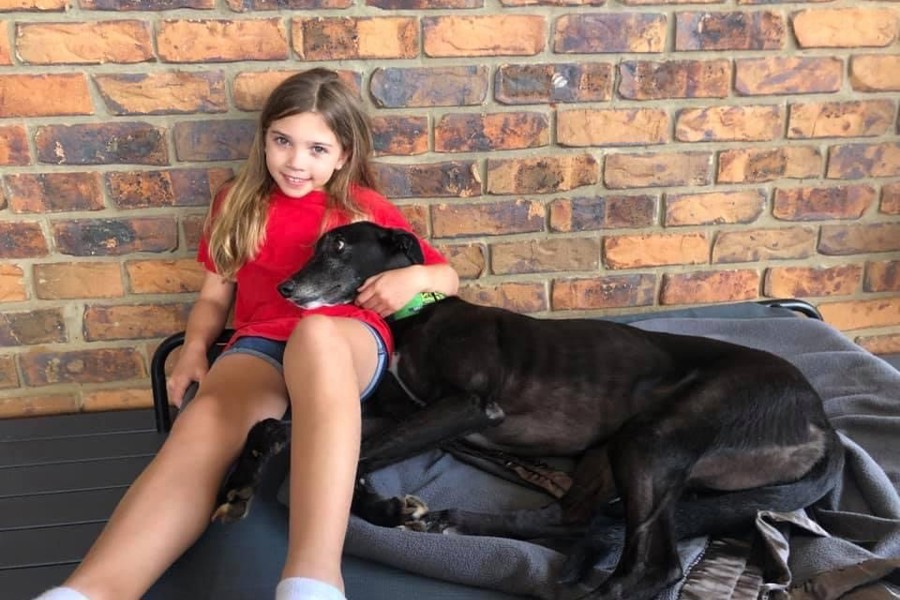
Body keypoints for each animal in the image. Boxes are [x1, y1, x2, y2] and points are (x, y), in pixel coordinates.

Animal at [213, 221, 843, 600]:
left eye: (339, 246)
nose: (287, 289)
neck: (417, 314)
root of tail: (821, 420)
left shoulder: (468, 406)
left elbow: (355, 461)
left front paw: (385, 507)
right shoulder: (398, 410)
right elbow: (279, 430)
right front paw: (238, 488)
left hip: (655, 437)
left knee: (653, 564)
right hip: (608, 454)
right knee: (571, 519)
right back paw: (455, 522)